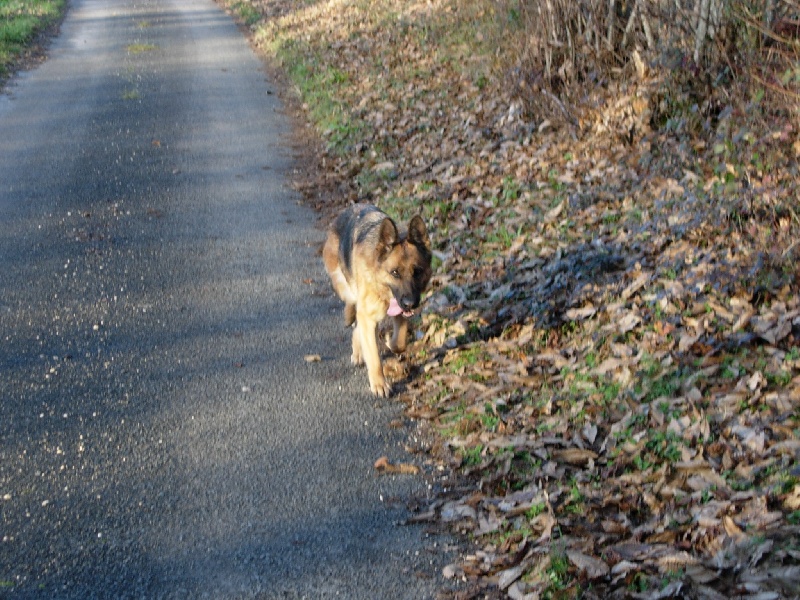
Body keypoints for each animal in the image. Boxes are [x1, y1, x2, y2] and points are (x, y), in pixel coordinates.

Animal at [322, 204, 432, 396]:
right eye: (394, 272)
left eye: (417, 271)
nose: (410, 303)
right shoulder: (372, 314)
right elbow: (374, 356)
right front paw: (379, 383)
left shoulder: (397, 310)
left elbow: (399, 342)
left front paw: (389, 341)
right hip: (345, 286)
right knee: (353, 307)